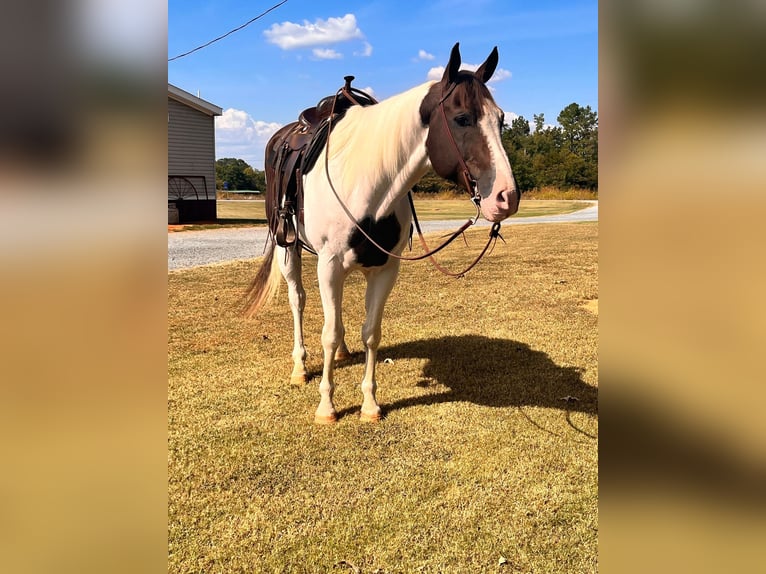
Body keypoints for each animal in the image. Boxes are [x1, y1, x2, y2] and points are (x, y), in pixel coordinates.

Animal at [246, 44, 520, 424]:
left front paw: (370, 404)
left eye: (501, 118)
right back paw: (300, 367)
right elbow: (329, 333)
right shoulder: (329, 265)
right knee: (297, 299)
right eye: (462, 118)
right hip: (288, 246)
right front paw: (327, 407)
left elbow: (370, 333)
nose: (507, 197)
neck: (367, 182)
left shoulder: (385, 269)